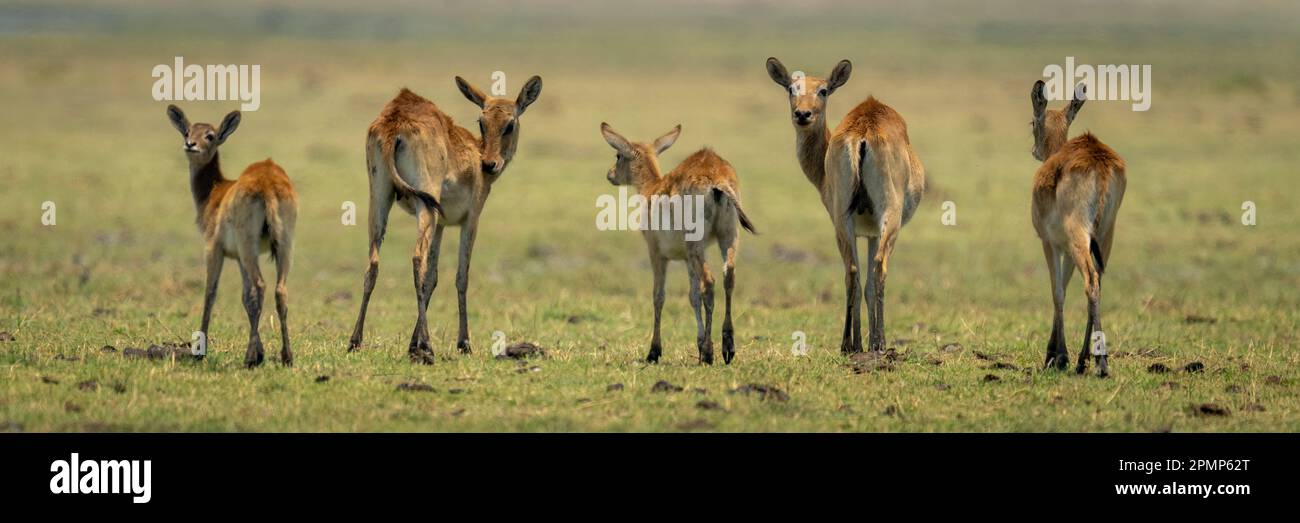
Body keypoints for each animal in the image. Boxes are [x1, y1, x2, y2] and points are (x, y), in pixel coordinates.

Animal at [165, 104, 297, 366]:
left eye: (210, 135)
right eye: (187, 131)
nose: (190, 144)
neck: (215, 193)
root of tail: (268, 182)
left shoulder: (214, 249)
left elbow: (210, 293)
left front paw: (200, 351)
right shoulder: (238, 259)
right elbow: (246, 298)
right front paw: (261, 352)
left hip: (249, 248)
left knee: (261, 285)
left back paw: (248, 358)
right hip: (284, 245)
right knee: (279, 290)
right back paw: (286, 356)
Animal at [348, 76, 540, 364]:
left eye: (509, 123)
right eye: (482, 121)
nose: (489, 164)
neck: (474, 151)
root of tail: (395, 119)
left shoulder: (440, 226)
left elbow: (432, 279)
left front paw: (412, 344)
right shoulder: (470, 221)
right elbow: (461, 276)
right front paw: (463, 343)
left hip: (380, 200)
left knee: (373, 264)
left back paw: (355, 341)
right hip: (424, 206)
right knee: (416, 258)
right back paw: (428, 348)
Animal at [595, 124, 754, 366]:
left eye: (618, 155)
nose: (610, 174)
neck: (652, 189)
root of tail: (716, 178)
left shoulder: (657, 254)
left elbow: (658, 296)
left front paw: (654, 351)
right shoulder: (687, 259)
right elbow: (692, 297)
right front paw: (698, 345)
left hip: (696, 244)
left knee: (710, 282)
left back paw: (709, 352)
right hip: (728, 236)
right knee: (728, 276)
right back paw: (727, 348)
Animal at [759, 58, 925, 356]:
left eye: (823, 90)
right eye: (791, 87)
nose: (803, 114)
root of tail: (864, 130)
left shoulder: (863, 231)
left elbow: (862, 282)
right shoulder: (871, 232)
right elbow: (871, 282)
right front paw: (873, 341)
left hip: (842, 223)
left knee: (852, 272)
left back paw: (851, 343)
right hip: (887, 219)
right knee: (877, 268)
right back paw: (876, 342)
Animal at [1024, 81, 1128, 374]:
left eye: (1032, 121)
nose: (1035, 151)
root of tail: (1099, 161)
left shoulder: (1050, 243)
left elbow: (1058, 291)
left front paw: (1056, 355)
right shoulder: (1068, 247)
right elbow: (1067, 285)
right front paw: (1063, 355)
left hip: (1078, 235)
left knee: (1090, 281)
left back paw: (1100, 363)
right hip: (1104, 234)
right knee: (1098, 281)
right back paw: (1085, 359)